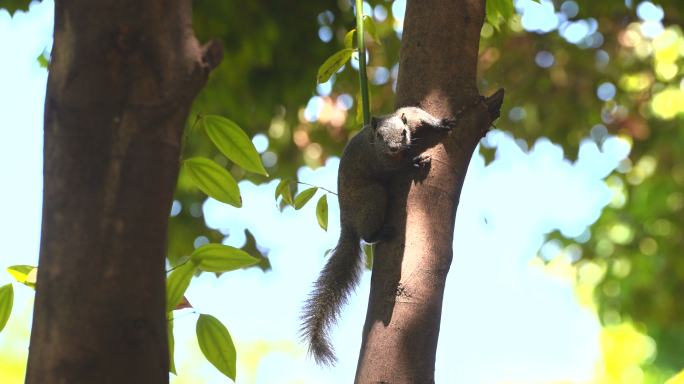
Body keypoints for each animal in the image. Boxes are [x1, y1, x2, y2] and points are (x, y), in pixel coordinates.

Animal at [298, 107, 454, 366]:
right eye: (379, 136)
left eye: (403, 132)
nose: (393, 148)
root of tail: (348, 223)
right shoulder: (379, 162)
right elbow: (393, 170)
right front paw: (413, 163)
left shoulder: (409, 116)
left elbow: (418, 113)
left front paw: (441, 123)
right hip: (372, 196)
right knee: (368, 229)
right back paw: (377, 233)